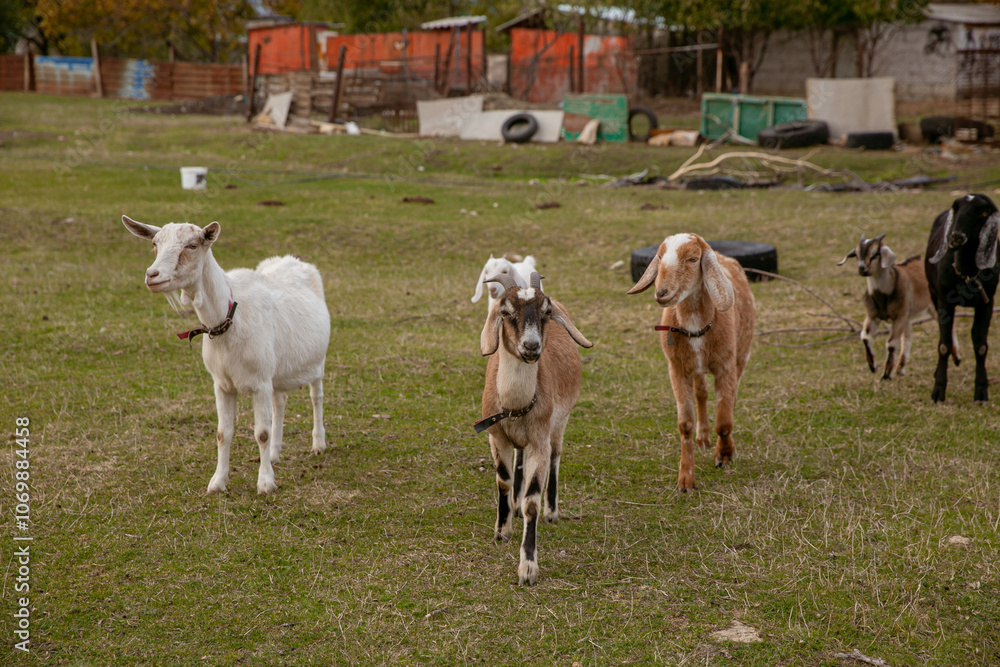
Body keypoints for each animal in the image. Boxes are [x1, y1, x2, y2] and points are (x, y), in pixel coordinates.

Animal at [122, 215, 331, 494]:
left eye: (192, 245)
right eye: (155, 243)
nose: (152, 275)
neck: (229, 317)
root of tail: (293, 260)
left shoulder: (260, 383)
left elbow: (261, 433)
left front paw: (265, 483)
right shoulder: (222, 384)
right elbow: (223, 433)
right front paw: (217, 482)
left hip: (317, 362)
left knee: (316, 396)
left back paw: (318, 444)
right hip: (276, 371)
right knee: (280, 402)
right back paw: (274, 454)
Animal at [477, 271, 592, 586]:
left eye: (546, 313)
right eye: (505, 312)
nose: (531, 346)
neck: (516, 406)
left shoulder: (539, 441)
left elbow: (532, 501)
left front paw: (528, 568)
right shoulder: (496, 437)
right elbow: (504, 481)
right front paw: (502, 530)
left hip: (559, 423)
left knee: (556, 456)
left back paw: (552, 512)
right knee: (518, 463)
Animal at [627, 234, 755, 491]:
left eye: (693, 259)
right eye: (659, 257)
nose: (662, 292)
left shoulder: (726, 365)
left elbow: (724, 421)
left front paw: (724, 456)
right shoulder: (677, 369)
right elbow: (684, 423)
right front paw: (685, 479)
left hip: (742, 355)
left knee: (731, 399)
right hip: (696, 368)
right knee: (701, 394)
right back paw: (702, 437)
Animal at [837, 233, 932, 379]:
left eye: (875, 254)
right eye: (857, 254)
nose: (862, 268)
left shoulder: (898, 317)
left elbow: (891, 343)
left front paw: (886, 375)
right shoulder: (873, 315)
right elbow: (865, 336)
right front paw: (873, 366)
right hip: (907, 317)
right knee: (908, 336)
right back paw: (900, 369)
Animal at [925, 194, 999, 403]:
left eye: (983, 212)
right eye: (956, 208)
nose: (955, 237)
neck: (967, 273)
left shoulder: (987, 303)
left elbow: (981, 346)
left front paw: (981, 391)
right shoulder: (944, 301)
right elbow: (943, 345)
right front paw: (938, 391)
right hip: (933, 293)